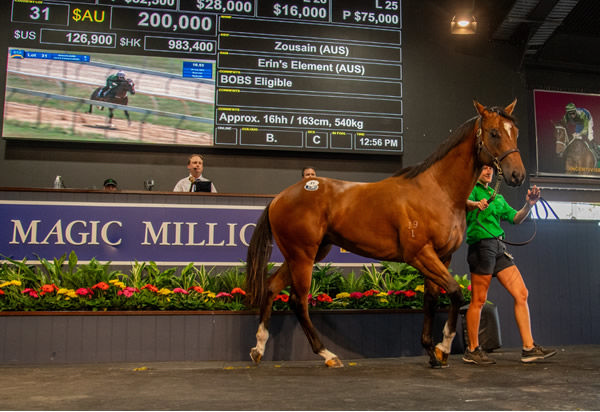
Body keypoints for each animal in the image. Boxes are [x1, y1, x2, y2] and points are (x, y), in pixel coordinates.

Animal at [245, 100, 524, 370]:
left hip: (302, 255)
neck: (437, 191)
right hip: (303, 256)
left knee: (272, 288)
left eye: (516, 132)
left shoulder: (441, 257)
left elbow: (432, 300)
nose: (517, 175)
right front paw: (442, 349)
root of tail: (279, 197)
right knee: (298, 301)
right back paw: (328, 355)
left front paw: (432, 353)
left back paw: (258, 348)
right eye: (494, 132)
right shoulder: (420, 255)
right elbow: (455, 292)